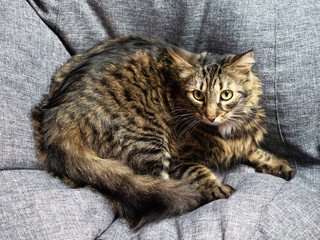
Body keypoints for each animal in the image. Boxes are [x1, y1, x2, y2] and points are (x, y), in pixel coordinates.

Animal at [32, 35, 296, 229]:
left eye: (226, 95)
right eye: (198, 95)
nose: (211, 115)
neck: (224, 132)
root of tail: (60, 112)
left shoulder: (244, 139)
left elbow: (255, 151)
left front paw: (279, 165)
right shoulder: (180, 158)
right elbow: (200, 172)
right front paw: (217, 189)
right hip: (149, 140)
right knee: (162, 194)